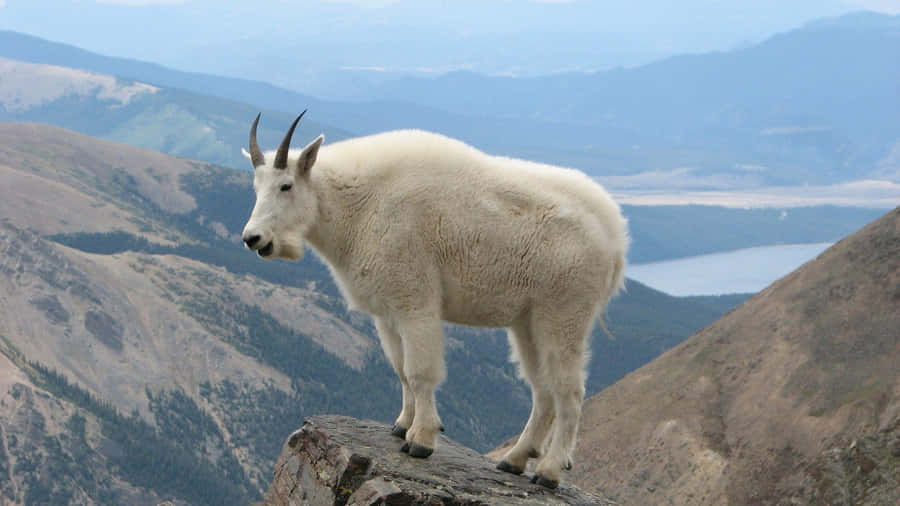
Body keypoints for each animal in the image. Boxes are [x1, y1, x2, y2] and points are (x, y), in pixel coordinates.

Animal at [240, 113, 629, 488]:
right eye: (256, 187)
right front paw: (401, 425)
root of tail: (615, 237)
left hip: (564, 313)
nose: (252, 238)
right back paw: (514, 459)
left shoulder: (415, 301)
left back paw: (549, 471)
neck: (358, 204)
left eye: (286, 185)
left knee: (569, 392)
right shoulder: (387, 312)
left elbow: (420, 371)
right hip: (527, 322)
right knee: (543, 391)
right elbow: (400, 369)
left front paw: (421, 439)